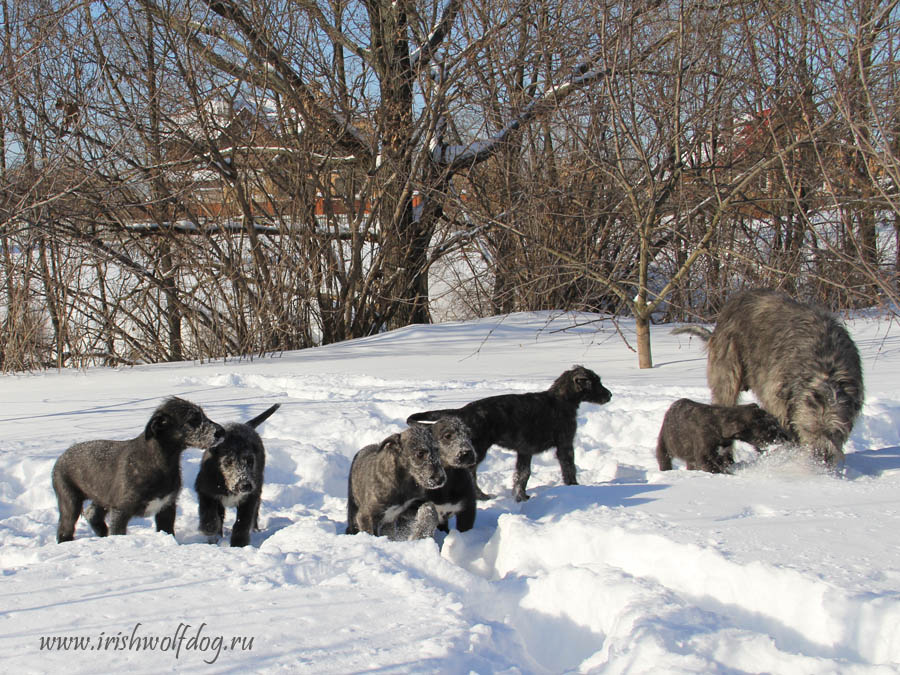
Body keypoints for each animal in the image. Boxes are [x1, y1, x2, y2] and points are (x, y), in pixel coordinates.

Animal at [52, 396, 223, 544]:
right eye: (192, 419)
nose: (221, 431)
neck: (159, 462)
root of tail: (61, 457)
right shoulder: (121, 511)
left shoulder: (167, 507)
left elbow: (169, 531)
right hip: (69, 500)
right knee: (65, 530)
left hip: (101, 496)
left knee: (92, 515)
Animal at [195, 404, 280, 548]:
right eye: (228, 462)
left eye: (250, 461)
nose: (245, 485)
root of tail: (246, 425)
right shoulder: (206, 490)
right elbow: (209, 513)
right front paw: (209, 529)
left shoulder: (250, 497)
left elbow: (242, 522)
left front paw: (239, 544)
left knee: (255, 513)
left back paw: (255, 529)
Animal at [406, 364, 612, 502]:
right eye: (596, 382)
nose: (610, 395)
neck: (562, 400)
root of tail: (462, 411)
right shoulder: (565, 444)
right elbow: (569, 469)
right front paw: (575, 488)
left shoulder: (525, 451)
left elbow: (522, 475)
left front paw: (521, 496)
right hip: (475, 450)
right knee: (469, 474)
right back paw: (480, 496)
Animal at [652, 398, 788, 472]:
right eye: (766, 431)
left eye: (775, 422)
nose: (786, 438)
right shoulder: (704, 452)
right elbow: (713, 467)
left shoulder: (725, 451)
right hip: (664, 443)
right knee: (663, 458)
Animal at [676, 288, 864, 468]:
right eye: (808, 429)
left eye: (836, 433)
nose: (821, 459)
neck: (825, 369)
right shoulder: (778, 396)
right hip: (727, 367)